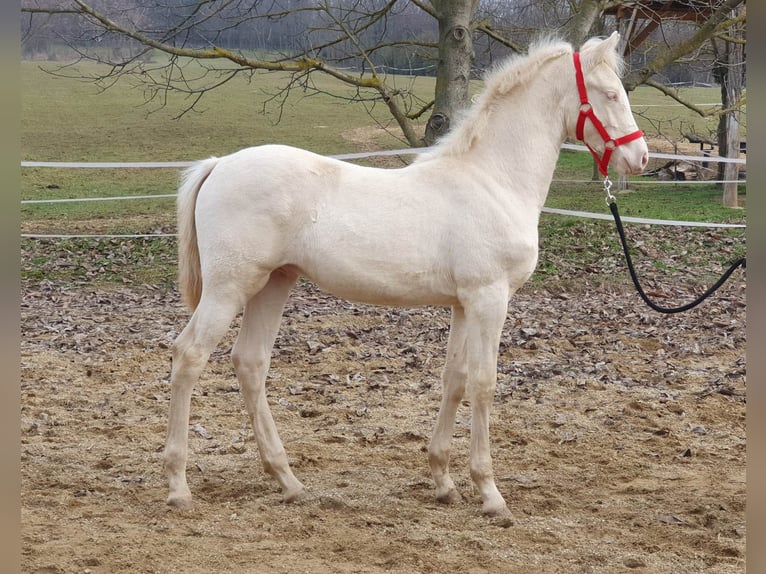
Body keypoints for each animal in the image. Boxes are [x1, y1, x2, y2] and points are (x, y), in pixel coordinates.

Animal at [165, 31, 652, 520]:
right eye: (611, 94)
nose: (641, 157)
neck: (493, 179)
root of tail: (219, 164)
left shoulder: (463, 304)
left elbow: (455, 380)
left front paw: (443, 481)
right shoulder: (489, 298)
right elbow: (484, 383)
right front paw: (490, 493)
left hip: (274, 283)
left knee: (250, 363)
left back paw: (289, 481)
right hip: (230, 287)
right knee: (189, 356)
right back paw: (178, 487)